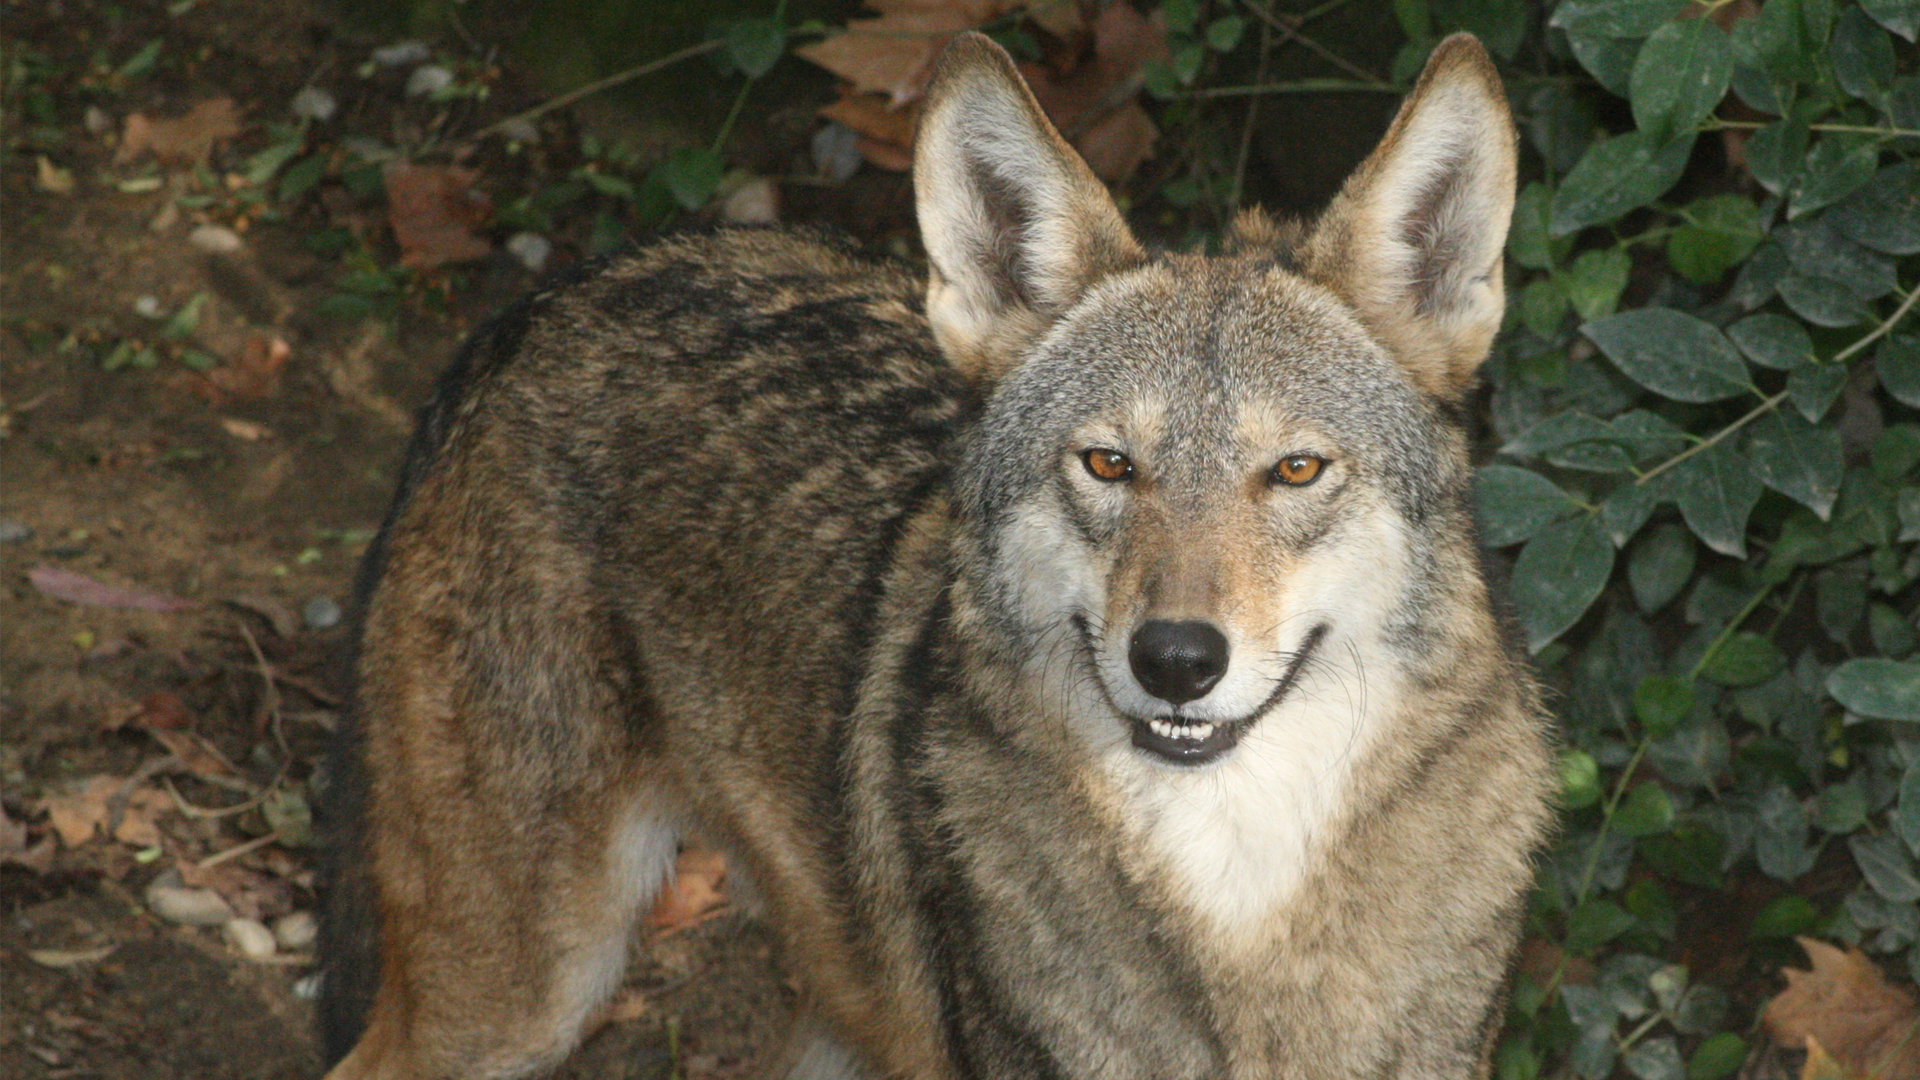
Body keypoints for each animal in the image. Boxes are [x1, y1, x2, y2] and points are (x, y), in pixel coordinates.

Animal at [317, 30, 1555, 1080]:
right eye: (1107, 465)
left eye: (1295, 470)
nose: (1174, 659)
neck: (1234, 914)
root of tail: (547, 298)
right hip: (527, 995)